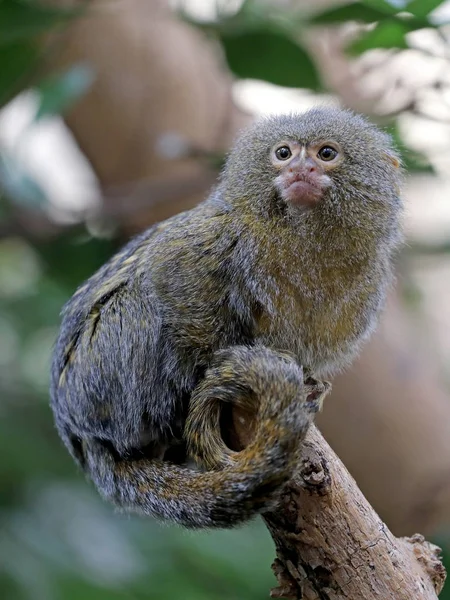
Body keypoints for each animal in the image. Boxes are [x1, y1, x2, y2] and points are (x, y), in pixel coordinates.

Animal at [50, 108, 404, 528]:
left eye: (327, 153)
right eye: (283, 153)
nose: (300, 168)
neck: (303, 236)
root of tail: (80, 436)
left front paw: (311, 384)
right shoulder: (215, 235)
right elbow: (166, 276)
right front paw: (210, 365)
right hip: (101, 371)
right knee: (136, 301)